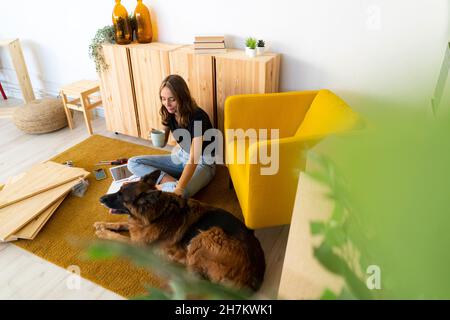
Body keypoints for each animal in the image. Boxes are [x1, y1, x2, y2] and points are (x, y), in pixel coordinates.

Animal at [93, 171, 266, 292]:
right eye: (118, 190)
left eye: (120, 197)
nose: (100, 199)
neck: (158, 214)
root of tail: (255, 278)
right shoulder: (137, 228)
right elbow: (121, 224)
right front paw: (100, 224)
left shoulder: (138, 244)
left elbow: (118, 238)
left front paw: (102, 233)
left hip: (207, 234)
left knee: (194, 281)